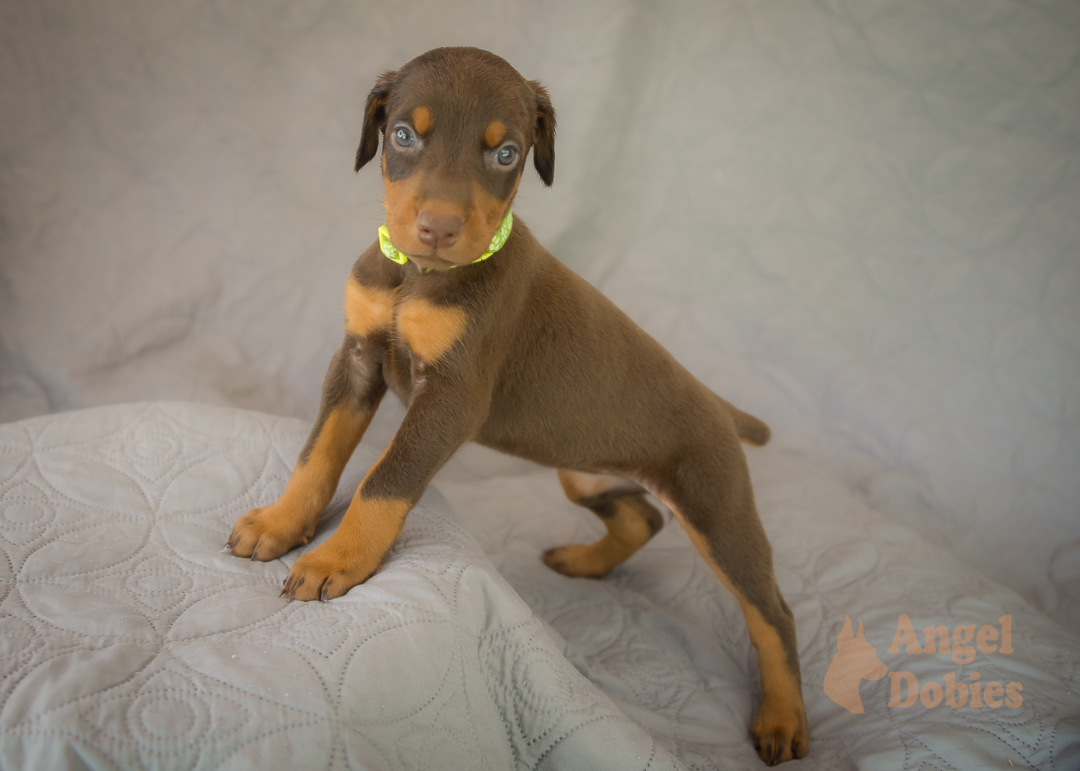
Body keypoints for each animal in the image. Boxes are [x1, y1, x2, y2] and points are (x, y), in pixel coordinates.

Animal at [227, 48, 807, 764]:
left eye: (506, 153)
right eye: (403, 136)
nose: (439, 228)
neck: (417, 275)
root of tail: (723, 408)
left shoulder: (452, 399)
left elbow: (384, 480)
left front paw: (337, 560)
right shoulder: (357, 360)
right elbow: (318, 452)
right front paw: (281, 523)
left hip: (715, 506)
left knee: (772, 612)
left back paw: (782, 719)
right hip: (587, 472)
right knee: (643, 518)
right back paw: (585, 562)